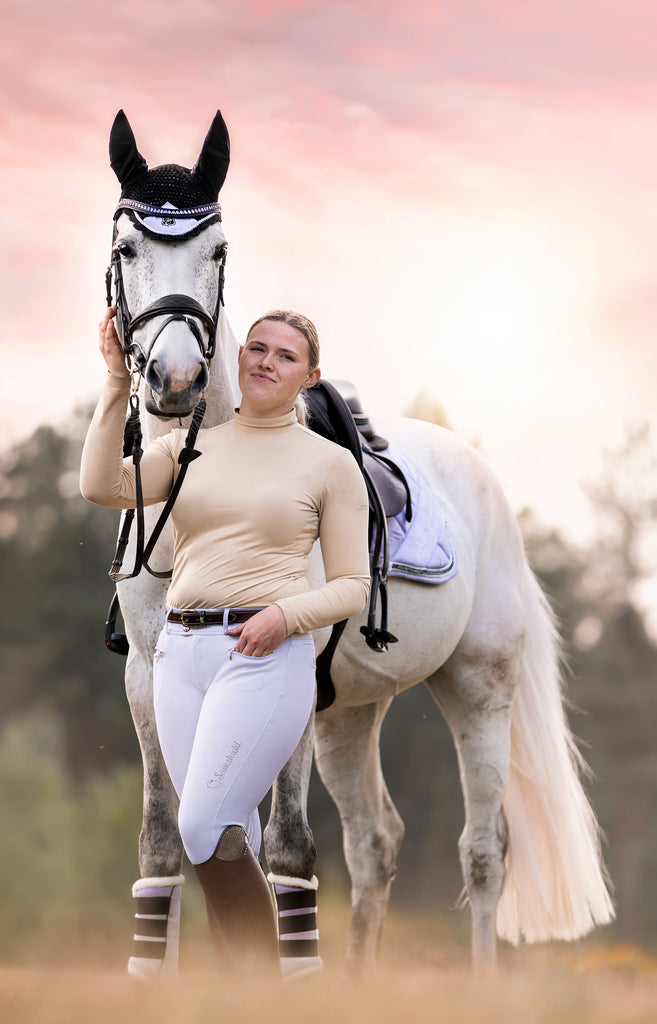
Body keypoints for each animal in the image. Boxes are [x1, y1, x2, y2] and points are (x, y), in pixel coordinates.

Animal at [102, 108, 609, 978]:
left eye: (219, 250)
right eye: (127, 247)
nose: (174, 379)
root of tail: (485, 480)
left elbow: (285, 848)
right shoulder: (148, 679)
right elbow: (171, 847)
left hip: (478, 689)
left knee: (484, 848)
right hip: (347, 716)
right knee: (376, 843)